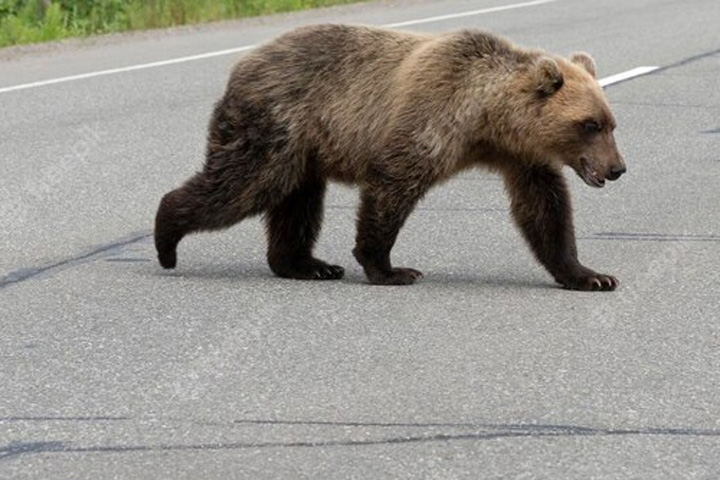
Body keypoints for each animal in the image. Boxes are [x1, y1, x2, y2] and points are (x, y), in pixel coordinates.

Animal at [156, 23, 624, 288]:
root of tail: (243, 64)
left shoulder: (522, 157)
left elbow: (545, 210)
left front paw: (592, 275)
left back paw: (307, 264)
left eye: (610, 122)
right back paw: (166, 239)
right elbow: (392, 186)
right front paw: (391, 269)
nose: (618, 168)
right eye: (589, 124)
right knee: (242, 185)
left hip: (303, 148)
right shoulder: (430, 119)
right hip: (277, 125)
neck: (486, 122)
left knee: (298, 202)